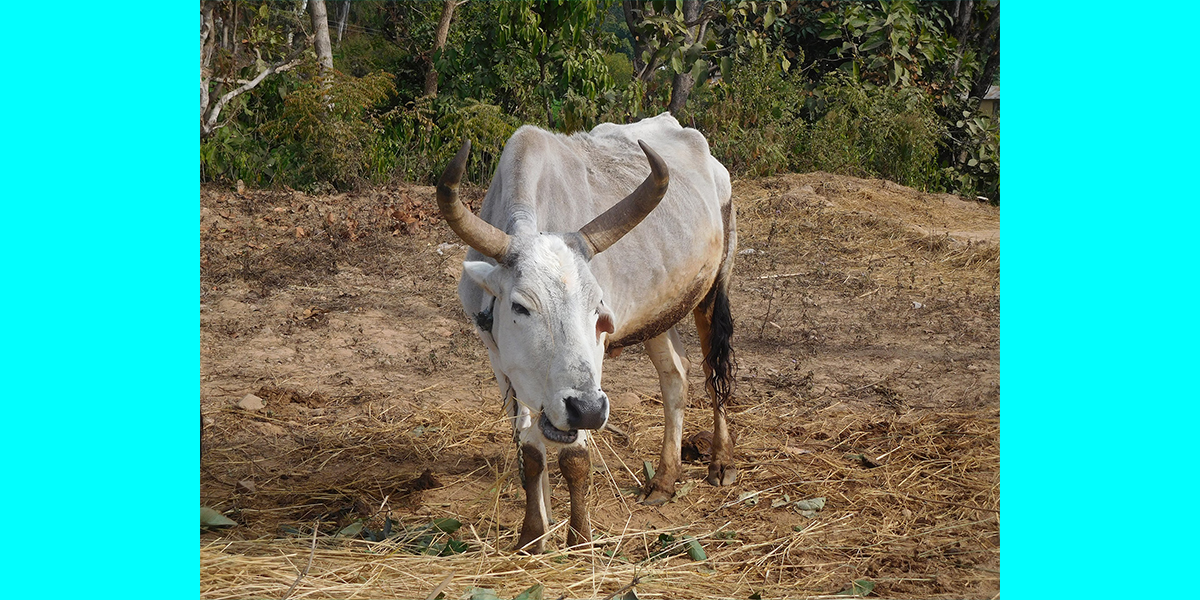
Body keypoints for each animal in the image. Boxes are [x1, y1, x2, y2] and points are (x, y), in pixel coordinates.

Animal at [439, 112, 734, 552]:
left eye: (598, 309)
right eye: (520, 307)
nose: (589, 410)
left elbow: (574, 458)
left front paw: (579, 538)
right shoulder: (501, 363)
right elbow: (531, 453)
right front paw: (535, 533)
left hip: (712, 294)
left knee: (714, 374)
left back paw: (721, 461)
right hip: (659, 315)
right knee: (675, 377)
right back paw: (664, 480)